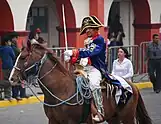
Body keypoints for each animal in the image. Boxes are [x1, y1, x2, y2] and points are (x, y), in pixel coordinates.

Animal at [9, 42, 152, 124]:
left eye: (23, 57)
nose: (12, 78)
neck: (60, 90)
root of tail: (132, 86)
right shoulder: (53, 121)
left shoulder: (72, 122)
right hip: (113, 117)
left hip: (128, 117)